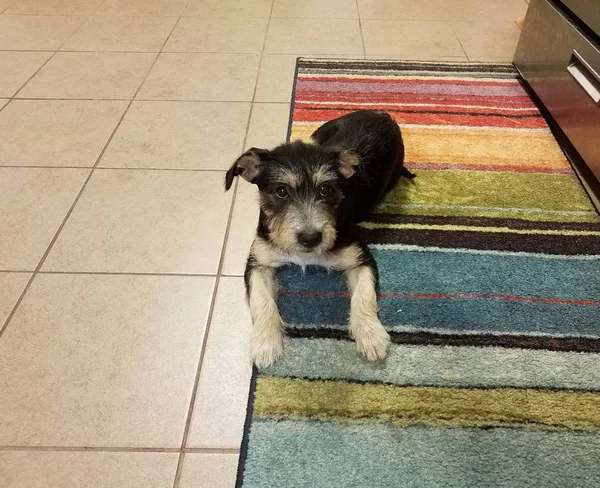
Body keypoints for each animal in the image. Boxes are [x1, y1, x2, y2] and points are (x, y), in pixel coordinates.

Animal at [223, 108, 414, 364]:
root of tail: (383, 114)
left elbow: (364, 295)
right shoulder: (257, 261)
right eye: (281, 191)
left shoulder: (361, 256)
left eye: (326, 189)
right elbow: (260, 299)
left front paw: (371, 336)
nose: (311, 238)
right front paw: (265, 343)